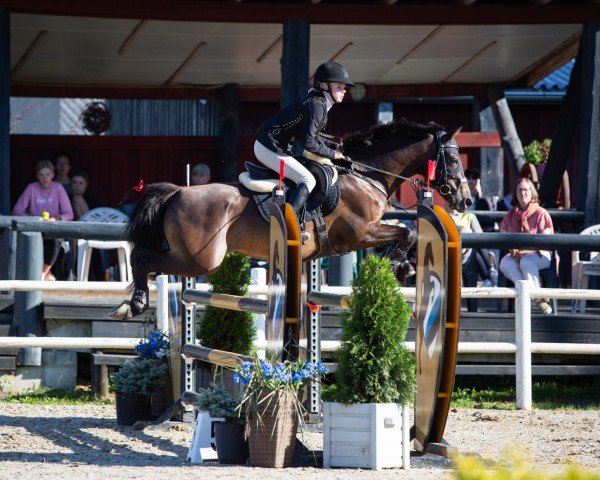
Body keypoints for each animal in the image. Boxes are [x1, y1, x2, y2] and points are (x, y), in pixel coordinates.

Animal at [110, 118, 472, 320]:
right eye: (454, 159)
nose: (465, 199)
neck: (364, 174)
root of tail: (177, 193)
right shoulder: (359, 234)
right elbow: (406, 234)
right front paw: (395, 265)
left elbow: (407, 233)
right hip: (200, 259)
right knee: (142, 257)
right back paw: (133, 305)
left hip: (192, 256)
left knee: (143, 256)